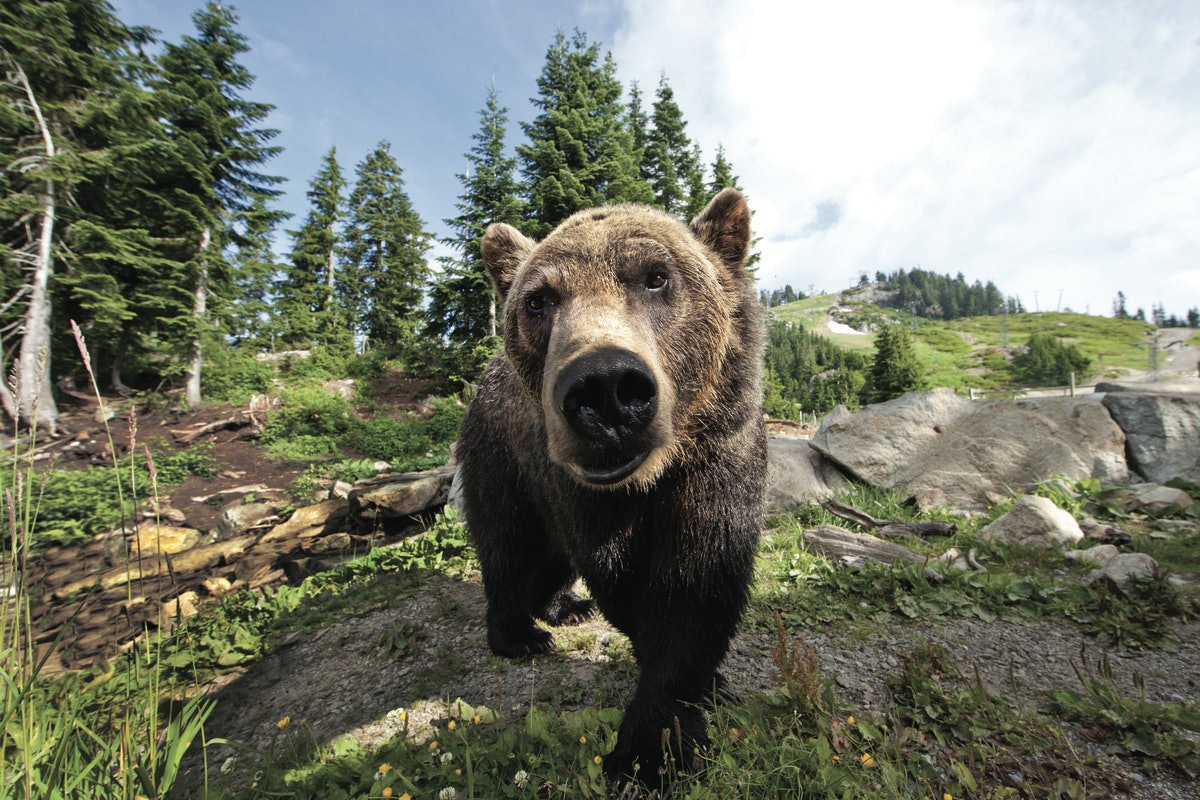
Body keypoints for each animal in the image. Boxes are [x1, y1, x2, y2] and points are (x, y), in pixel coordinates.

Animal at [453, 188, 763, 786]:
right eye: (538, 301)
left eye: (656, 276)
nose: (606, 389)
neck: (652, 478)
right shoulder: (579, 490)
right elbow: (621, 577)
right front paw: (647, 753)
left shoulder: (719, 462)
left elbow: (697, 582)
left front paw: (671, 725)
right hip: (501, 459)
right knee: (508, 542)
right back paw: (519, 632)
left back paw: (565, 606)